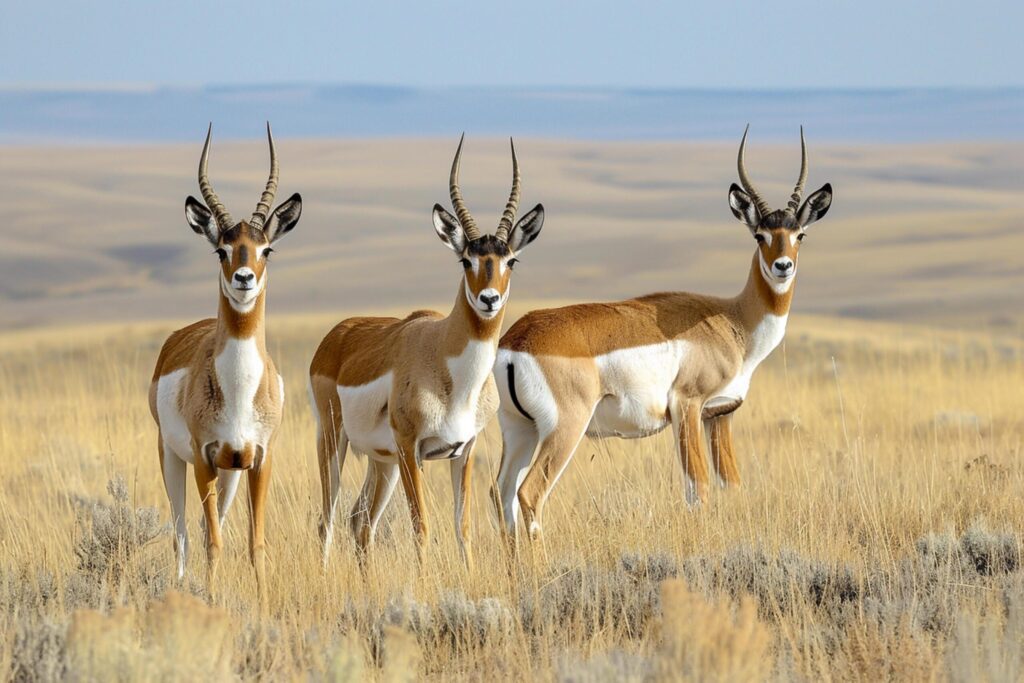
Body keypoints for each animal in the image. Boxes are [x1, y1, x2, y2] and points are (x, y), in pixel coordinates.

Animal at [148, 122, 301, 598]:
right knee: (182, 532)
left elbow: (255, 542)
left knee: (204, 525)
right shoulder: (204, 457)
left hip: (230, 473)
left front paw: (266, 600)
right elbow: (212, 541)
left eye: (266, 249)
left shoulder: (257, 458)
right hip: (172, 458)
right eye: (221, 249)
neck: (238, 390)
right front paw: (212, 599)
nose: (244, 279)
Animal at [309, 135, 544, 565]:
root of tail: (338, 333)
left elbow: (462, 527)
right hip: (335, 442)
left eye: (511, 260)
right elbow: (422, 527)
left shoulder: (463, 450)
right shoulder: (410, 449)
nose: (488, 300)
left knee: (360, 522)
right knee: (328, 520)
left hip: (381, 461)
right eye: (465, 259)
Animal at [491, 126, 835, 544]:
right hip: (563, 429)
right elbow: (698, 488)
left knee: (501, 492)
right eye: (759, 235)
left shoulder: (720, 413)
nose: (783, 266)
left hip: (519, 429)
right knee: (530, 492)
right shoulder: (687, 405)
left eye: (799, 234)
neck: (733, 320)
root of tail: (517, 339)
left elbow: (731, 484)